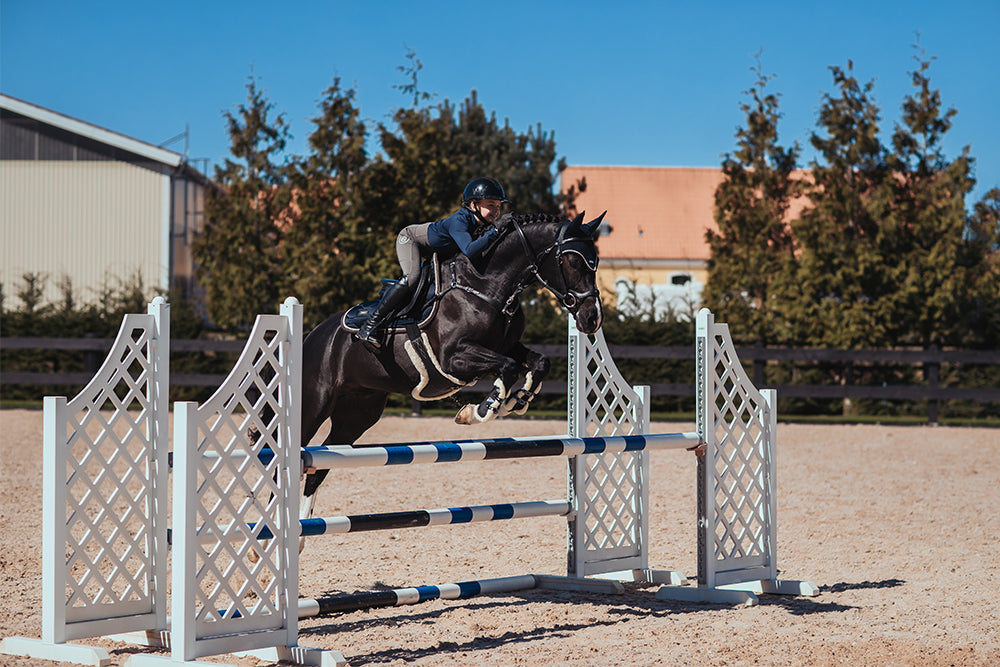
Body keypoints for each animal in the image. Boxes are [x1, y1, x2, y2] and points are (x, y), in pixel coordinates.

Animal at [296, 210, 605, 512]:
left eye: (596, 263)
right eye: (573, 262)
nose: (592, 318)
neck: (485, 284)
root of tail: (311, 336)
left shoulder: (506, 346)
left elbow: (539, 362)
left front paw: (517, 400)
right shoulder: (453, 357)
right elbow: (507, 367)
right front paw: (482, 409)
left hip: (358, 413)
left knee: (319, 466)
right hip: (314, 405)